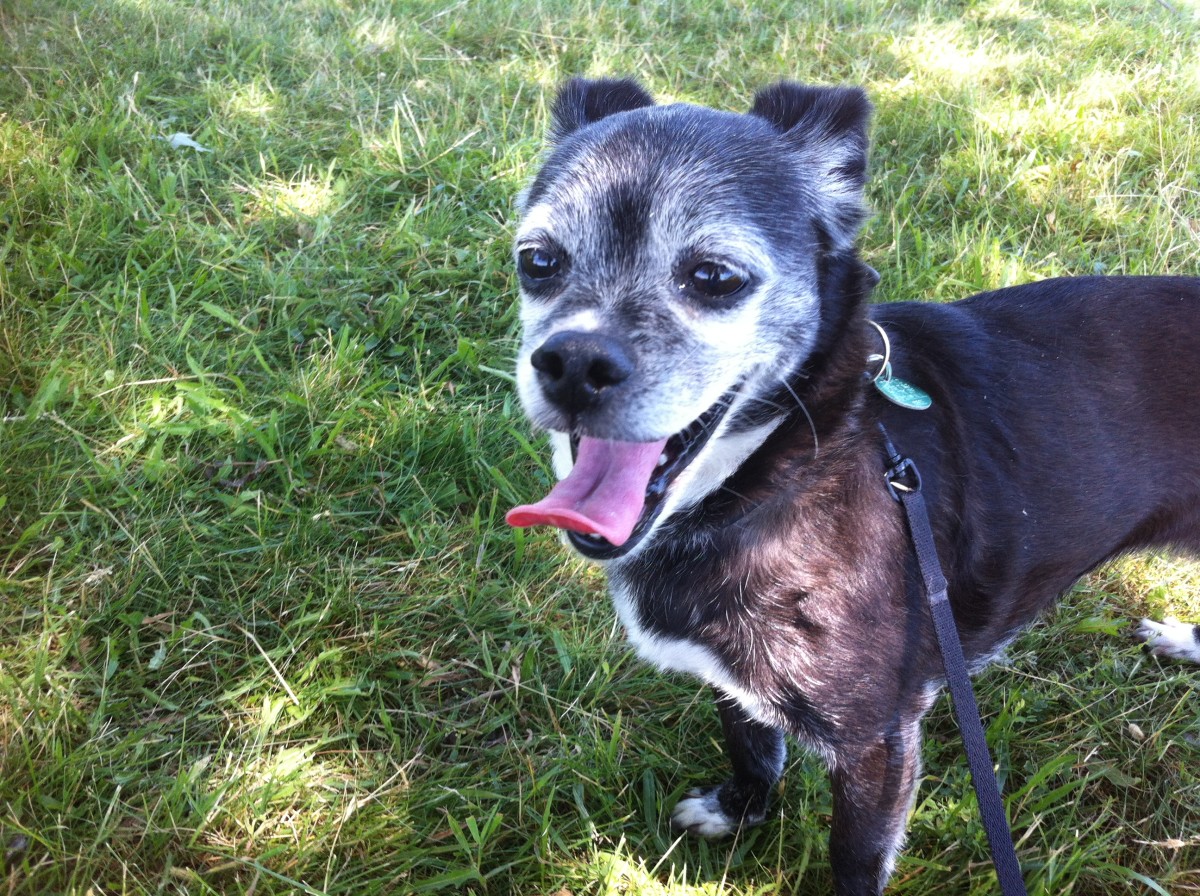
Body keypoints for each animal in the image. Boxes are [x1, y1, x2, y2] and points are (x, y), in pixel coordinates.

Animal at [501, 78, 1195, 896]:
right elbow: (749, 741)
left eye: (715, 277)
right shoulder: (732, 677)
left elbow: (853, 856)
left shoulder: (878, 744)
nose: (573, 363)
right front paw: (741, 810)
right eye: (538, 261)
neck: (784, 469)